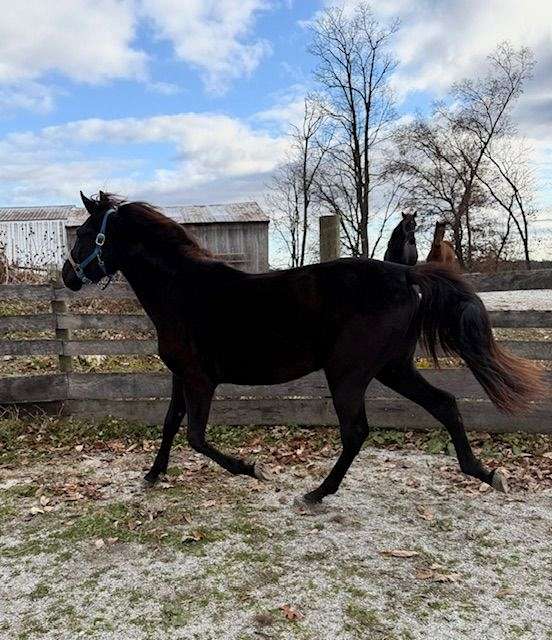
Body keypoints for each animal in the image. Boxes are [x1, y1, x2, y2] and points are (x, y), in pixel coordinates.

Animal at [62, 192, 543, 505]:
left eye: (85, 233)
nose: (67, 277)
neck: (183, 290)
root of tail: (406, 275)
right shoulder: (181, 375)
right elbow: (168, 425)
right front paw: (152, 474)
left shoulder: (200, 379)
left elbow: (195, 436)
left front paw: (252, 468)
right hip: (392, 367)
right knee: (444, 404)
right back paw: (485, 473)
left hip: (349, 373)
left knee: (357, 431)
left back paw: (317, 492)